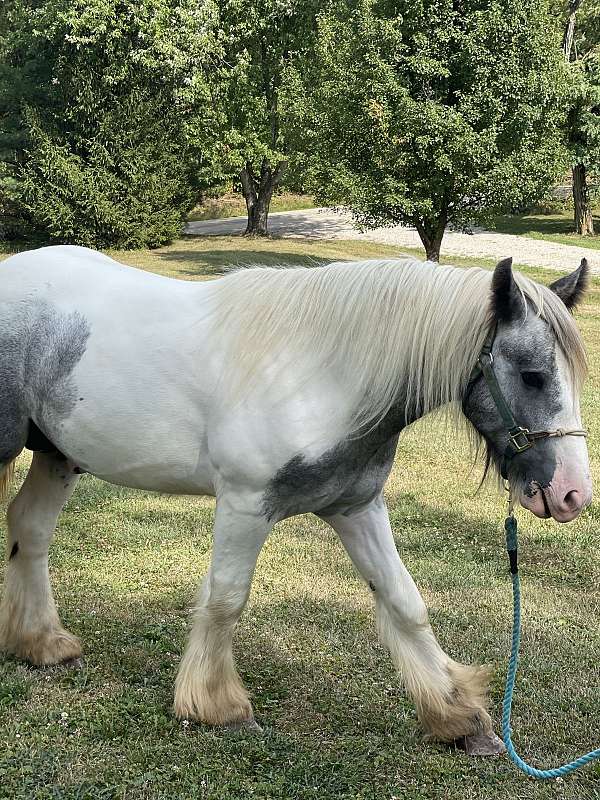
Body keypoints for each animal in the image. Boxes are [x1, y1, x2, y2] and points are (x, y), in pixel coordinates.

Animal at [0, 247, 592, 752]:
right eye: (533, 376)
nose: (572, 494)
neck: (322, 378)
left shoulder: (355, 509)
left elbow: (404, 600)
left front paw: (459, 717)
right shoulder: (244, 506)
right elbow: (226, 598)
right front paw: (218, 706)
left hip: (57, 457)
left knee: (30, 530)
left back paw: (42, 643)